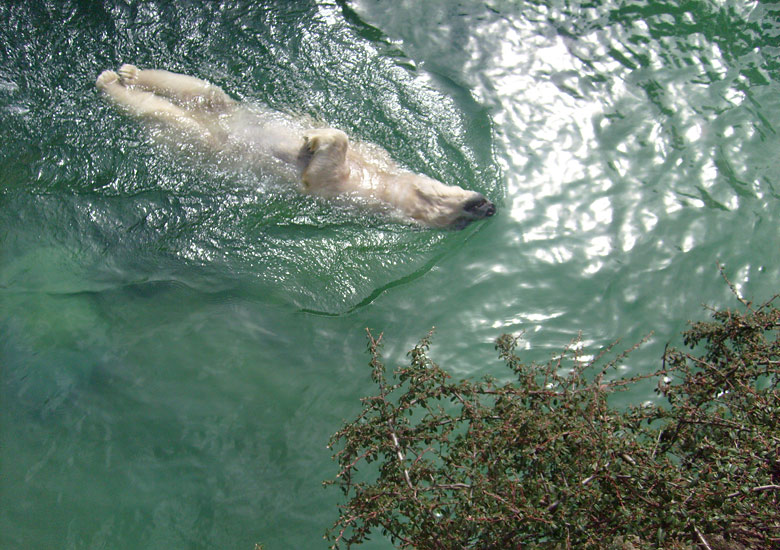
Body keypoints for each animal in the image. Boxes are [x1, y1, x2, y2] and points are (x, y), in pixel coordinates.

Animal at [96, 66, 494, 230]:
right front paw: (310, 134)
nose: (490, 206)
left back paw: (113, 80)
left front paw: (314, 141)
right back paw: (128, 73)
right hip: (227, 110)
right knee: (204, 91)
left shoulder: (334, 188)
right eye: (466, 209)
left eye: (460, 219)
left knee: (170, 113)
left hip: (197, 137)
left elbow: (318, 170)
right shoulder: (373, 157)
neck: (379, 182)